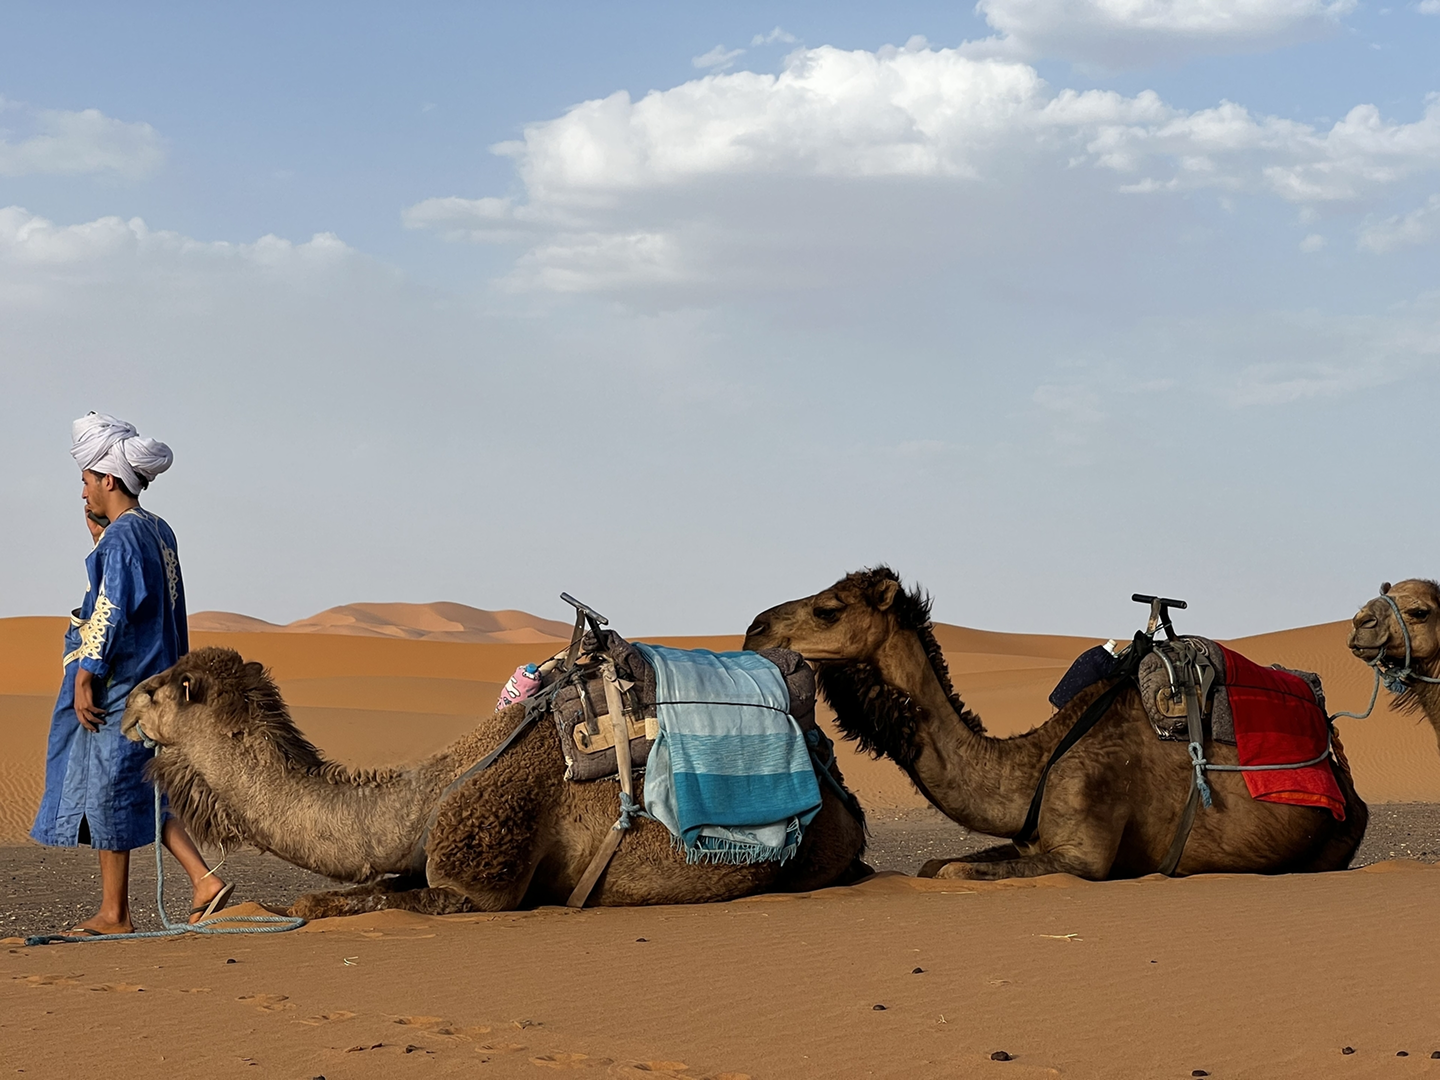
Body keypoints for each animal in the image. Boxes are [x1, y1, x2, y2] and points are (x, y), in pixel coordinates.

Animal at [743, 567, 1368, 881]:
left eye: (829, 609)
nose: (753, 628)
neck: (1034, 762)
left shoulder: (1082, 850)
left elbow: (953, 873)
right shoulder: (1030, 837)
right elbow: (934, 864)